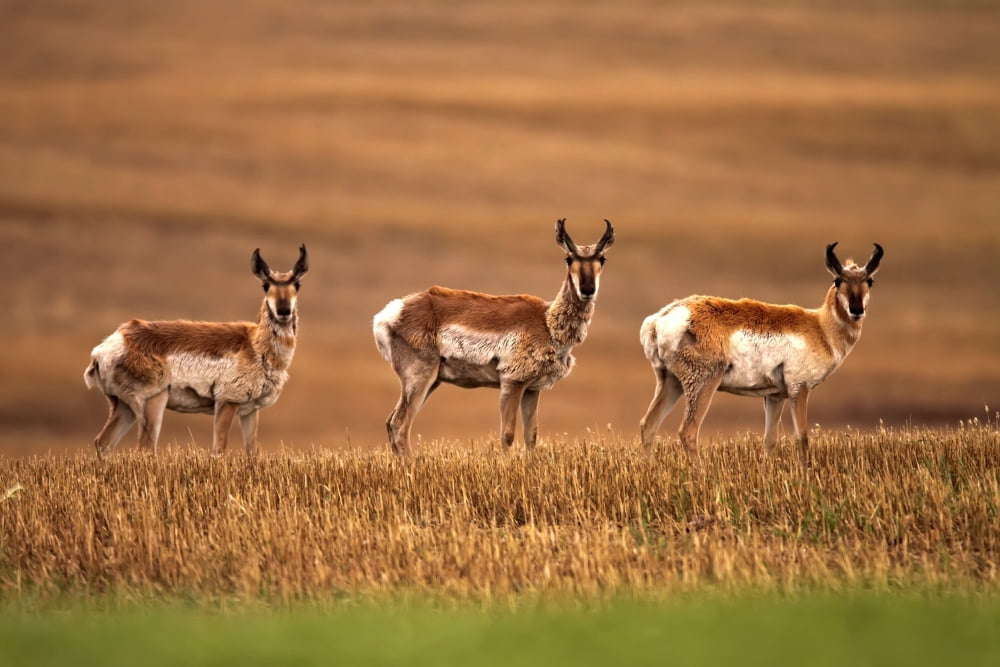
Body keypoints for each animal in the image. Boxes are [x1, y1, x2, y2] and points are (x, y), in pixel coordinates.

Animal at [83, 245, 309, 458]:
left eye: (297, 285)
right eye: (265, 285)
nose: (283, 311)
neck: (256, 346)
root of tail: (111, 343)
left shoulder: (249, 411)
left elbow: (252, 453)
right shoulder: (227, 402)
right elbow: (219, 451)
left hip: (124, 406)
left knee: (103, 443)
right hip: (152, 402)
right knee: (145, 449)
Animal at [373, 219, 615, 457]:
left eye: (601, 259)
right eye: (569, 258)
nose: (588, 289)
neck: (547, 322)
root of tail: (392, 311)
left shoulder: (532, 390)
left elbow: (531, 437)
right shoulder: (512, 383)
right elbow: (507, 436)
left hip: (432, 381)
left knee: (390, 423)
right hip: (419, 378)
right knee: (399, 425)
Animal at [639, 242, 883, 466]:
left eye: (869, 281)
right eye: (838, 280)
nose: (857, 310)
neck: (820, 327)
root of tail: (661, 318)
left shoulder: (775, 396)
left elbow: (770, 439)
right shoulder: (799, 388)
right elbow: (802, 437)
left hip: (671, 382)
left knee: (648, 425)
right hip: (703, 383)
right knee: (688, 431)